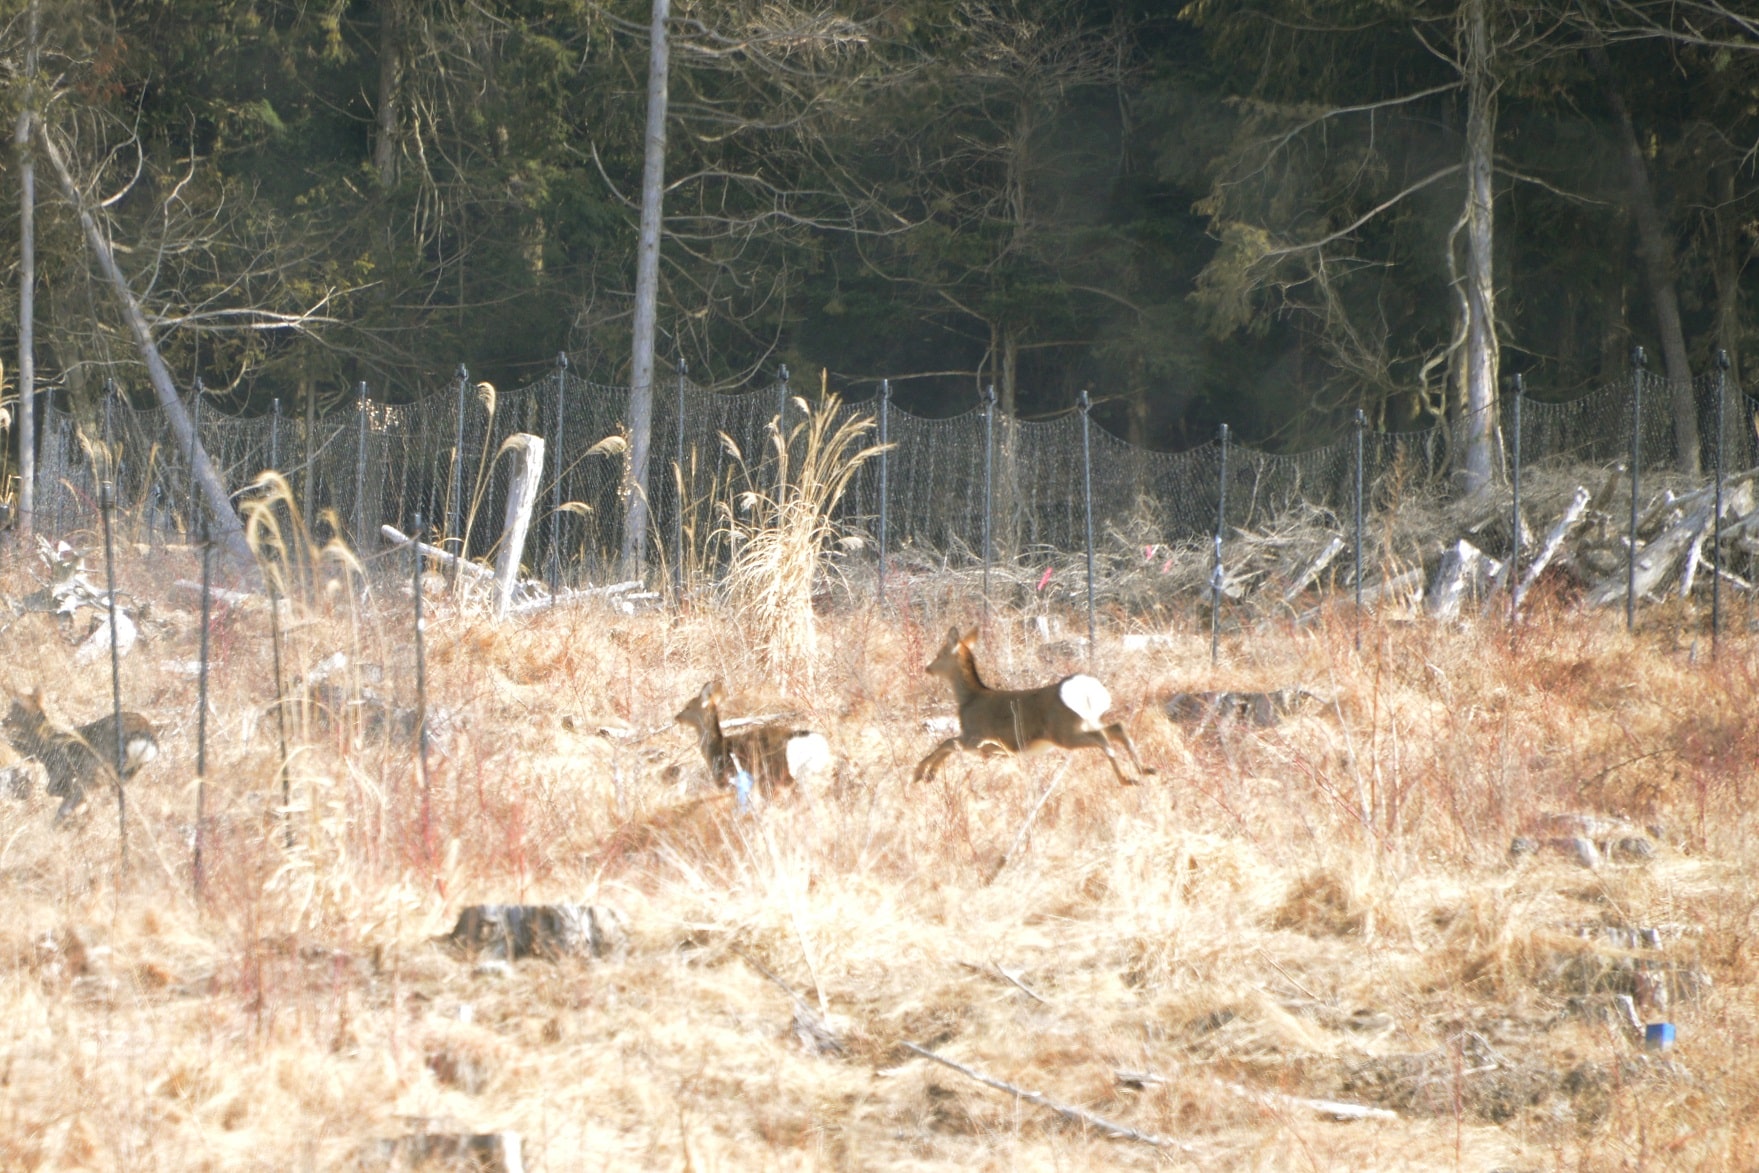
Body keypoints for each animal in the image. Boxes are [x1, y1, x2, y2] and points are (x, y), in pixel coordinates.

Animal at [2, 689, 161, 826]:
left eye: (14, 710)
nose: (4, 721)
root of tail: (148, 738)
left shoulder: (71, 775)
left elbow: (61, 799)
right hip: (125, 774)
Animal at [921, 629, 1153, 784]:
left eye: (940, 653)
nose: (928, 668)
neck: (969, 698)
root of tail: (1082, 691)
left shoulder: (977, 737)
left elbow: (947, 743)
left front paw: (921, 772)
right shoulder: (994, 749)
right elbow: (948, 745)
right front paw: (927, 774)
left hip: (1063, 732)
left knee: (1102, 738)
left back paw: (1127, 778)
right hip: (1086, 722)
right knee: (1117, 728)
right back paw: (1144, 770)